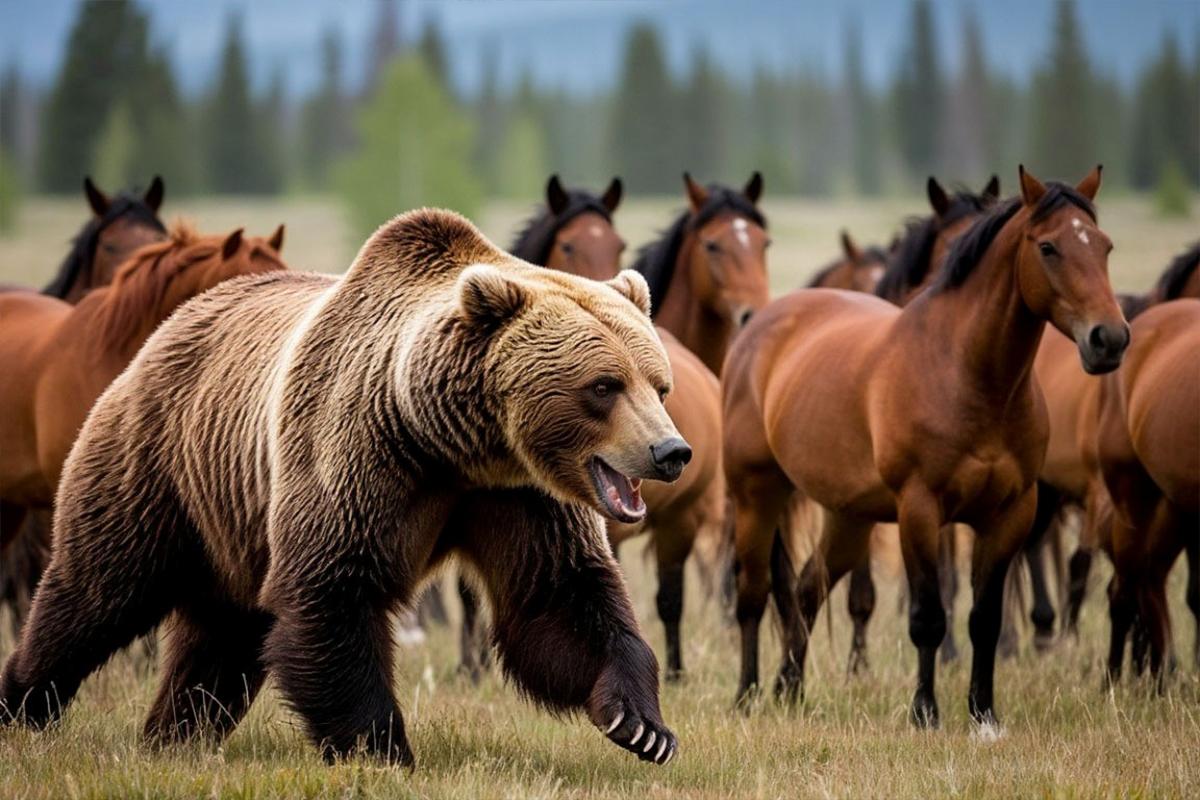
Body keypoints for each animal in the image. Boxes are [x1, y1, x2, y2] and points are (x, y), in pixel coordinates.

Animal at [0, 208, 690, 767]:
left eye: (658, 383)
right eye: (603, 386)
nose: (671, 451)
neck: (455, 444)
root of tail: (167, 327)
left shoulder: (516, 495)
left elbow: (558, 597)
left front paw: (641, 724)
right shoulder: (359, 451)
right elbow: (334, 590)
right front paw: (383, 749)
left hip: (233, 522)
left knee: (222, 634)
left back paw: (174, 735)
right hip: (158, 460)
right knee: (97, 589)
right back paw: (25, 702)